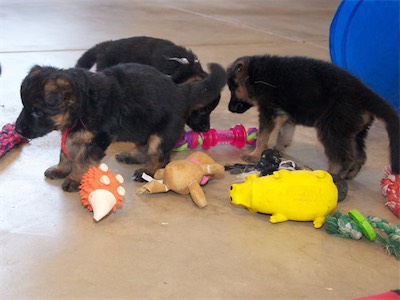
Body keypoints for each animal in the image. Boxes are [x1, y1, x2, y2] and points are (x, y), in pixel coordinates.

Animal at [15, 62, 227, 192]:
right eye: (25, 106)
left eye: (37, 112)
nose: (17, 130)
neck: (83, 101)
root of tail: (182, 91)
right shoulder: (73, 135)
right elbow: (66, 154)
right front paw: (61, 169)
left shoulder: (95, 139)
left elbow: (81, 160)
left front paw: (75, 179)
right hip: (142, 128)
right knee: (145, 148)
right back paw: (131, 156)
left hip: (160, 135)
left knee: (159, 157)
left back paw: (146, 172)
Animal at [228, 54, 400, 178]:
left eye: (233, 89)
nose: (229, 108)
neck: (255, 75)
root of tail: (365, 95)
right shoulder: (285, 116)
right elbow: (284, 136)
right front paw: (275, 151)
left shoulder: (269, 112)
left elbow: (264, 136)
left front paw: (255, 155)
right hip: (352, 132)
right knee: (359, 156)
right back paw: (349, 175)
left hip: (332, 129)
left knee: (343, 158)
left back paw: (333, 176)